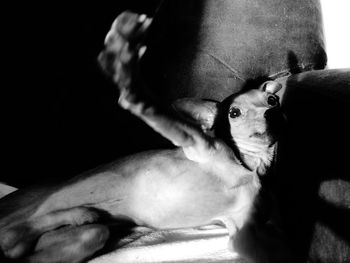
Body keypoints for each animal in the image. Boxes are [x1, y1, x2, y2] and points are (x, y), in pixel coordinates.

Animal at [0, 11, 286, 263]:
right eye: (234, 113)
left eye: (272, 100)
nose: (272, 112)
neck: (248, 164)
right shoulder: (198, 143)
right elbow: (141, 102)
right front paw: (123, 63)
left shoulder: (243, 233)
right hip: (31, 212)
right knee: (18, 232)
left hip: (82, 236)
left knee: (40, 243)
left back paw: (79, 215)